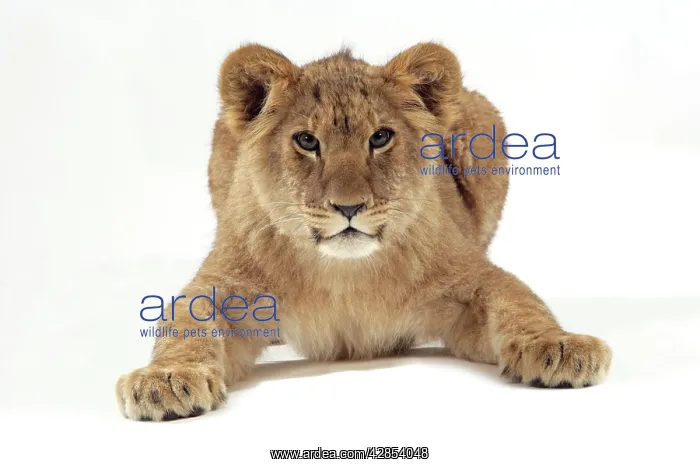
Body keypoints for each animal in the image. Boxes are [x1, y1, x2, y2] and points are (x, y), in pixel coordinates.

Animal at [116, 43, 612, 421]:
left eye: (380, 138)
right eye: (307, 141)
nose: (349, 206)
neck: (344, 275)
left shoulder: (470, 279)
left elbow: (519, 304)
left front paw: (559, 346)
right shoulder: (225, 285)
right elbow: (186, 321)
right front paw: (165, 379)